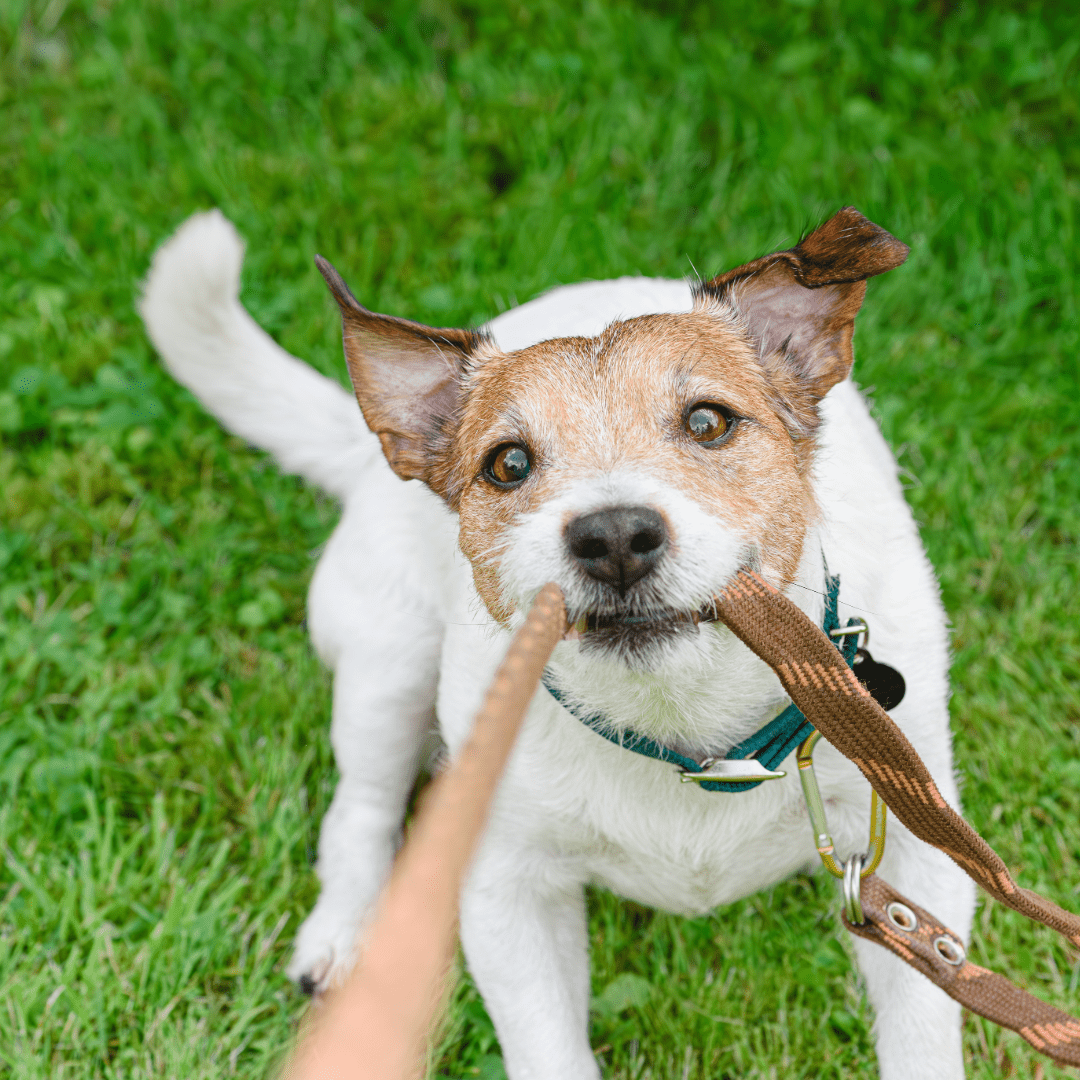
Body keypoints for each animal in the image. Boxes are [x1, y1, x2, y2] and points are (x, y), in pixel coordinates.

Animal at [139, 206, 976, 1075]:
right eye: (508, 463)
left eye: (708, 421)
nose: (613, 537)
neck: (688, 731)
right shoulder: (505, 889)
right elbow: (547, 1046)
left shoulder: (914, 869)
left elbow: (922, 1029)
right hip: (390, 663)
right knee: (361, 810)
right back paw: (345, 939)